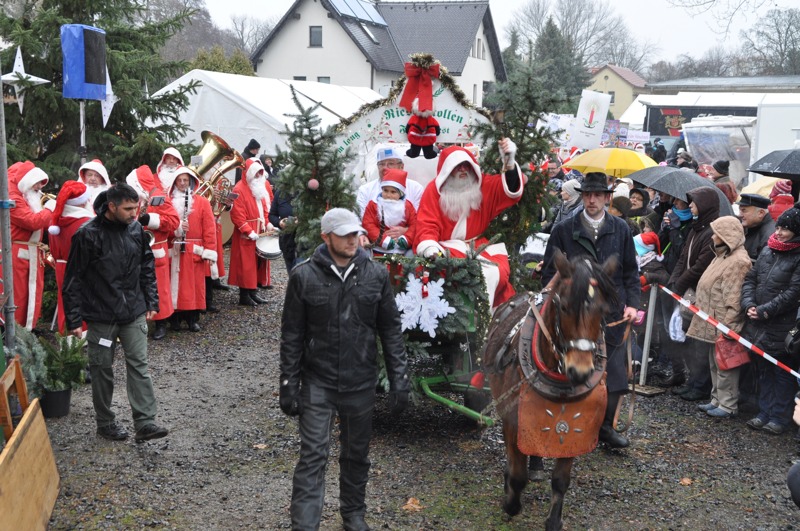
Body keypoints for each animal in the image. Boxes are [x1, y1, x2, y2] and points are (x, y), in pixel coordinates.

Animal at [482, 250, 620, 531]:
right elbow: (518, 474)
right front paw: (510, 503)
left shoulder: (578, 428)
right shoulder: (514, 420)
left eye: (602, 310)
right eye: (564, 307)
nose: (580, 371)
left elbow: (561, 480)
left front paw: (554, 520)